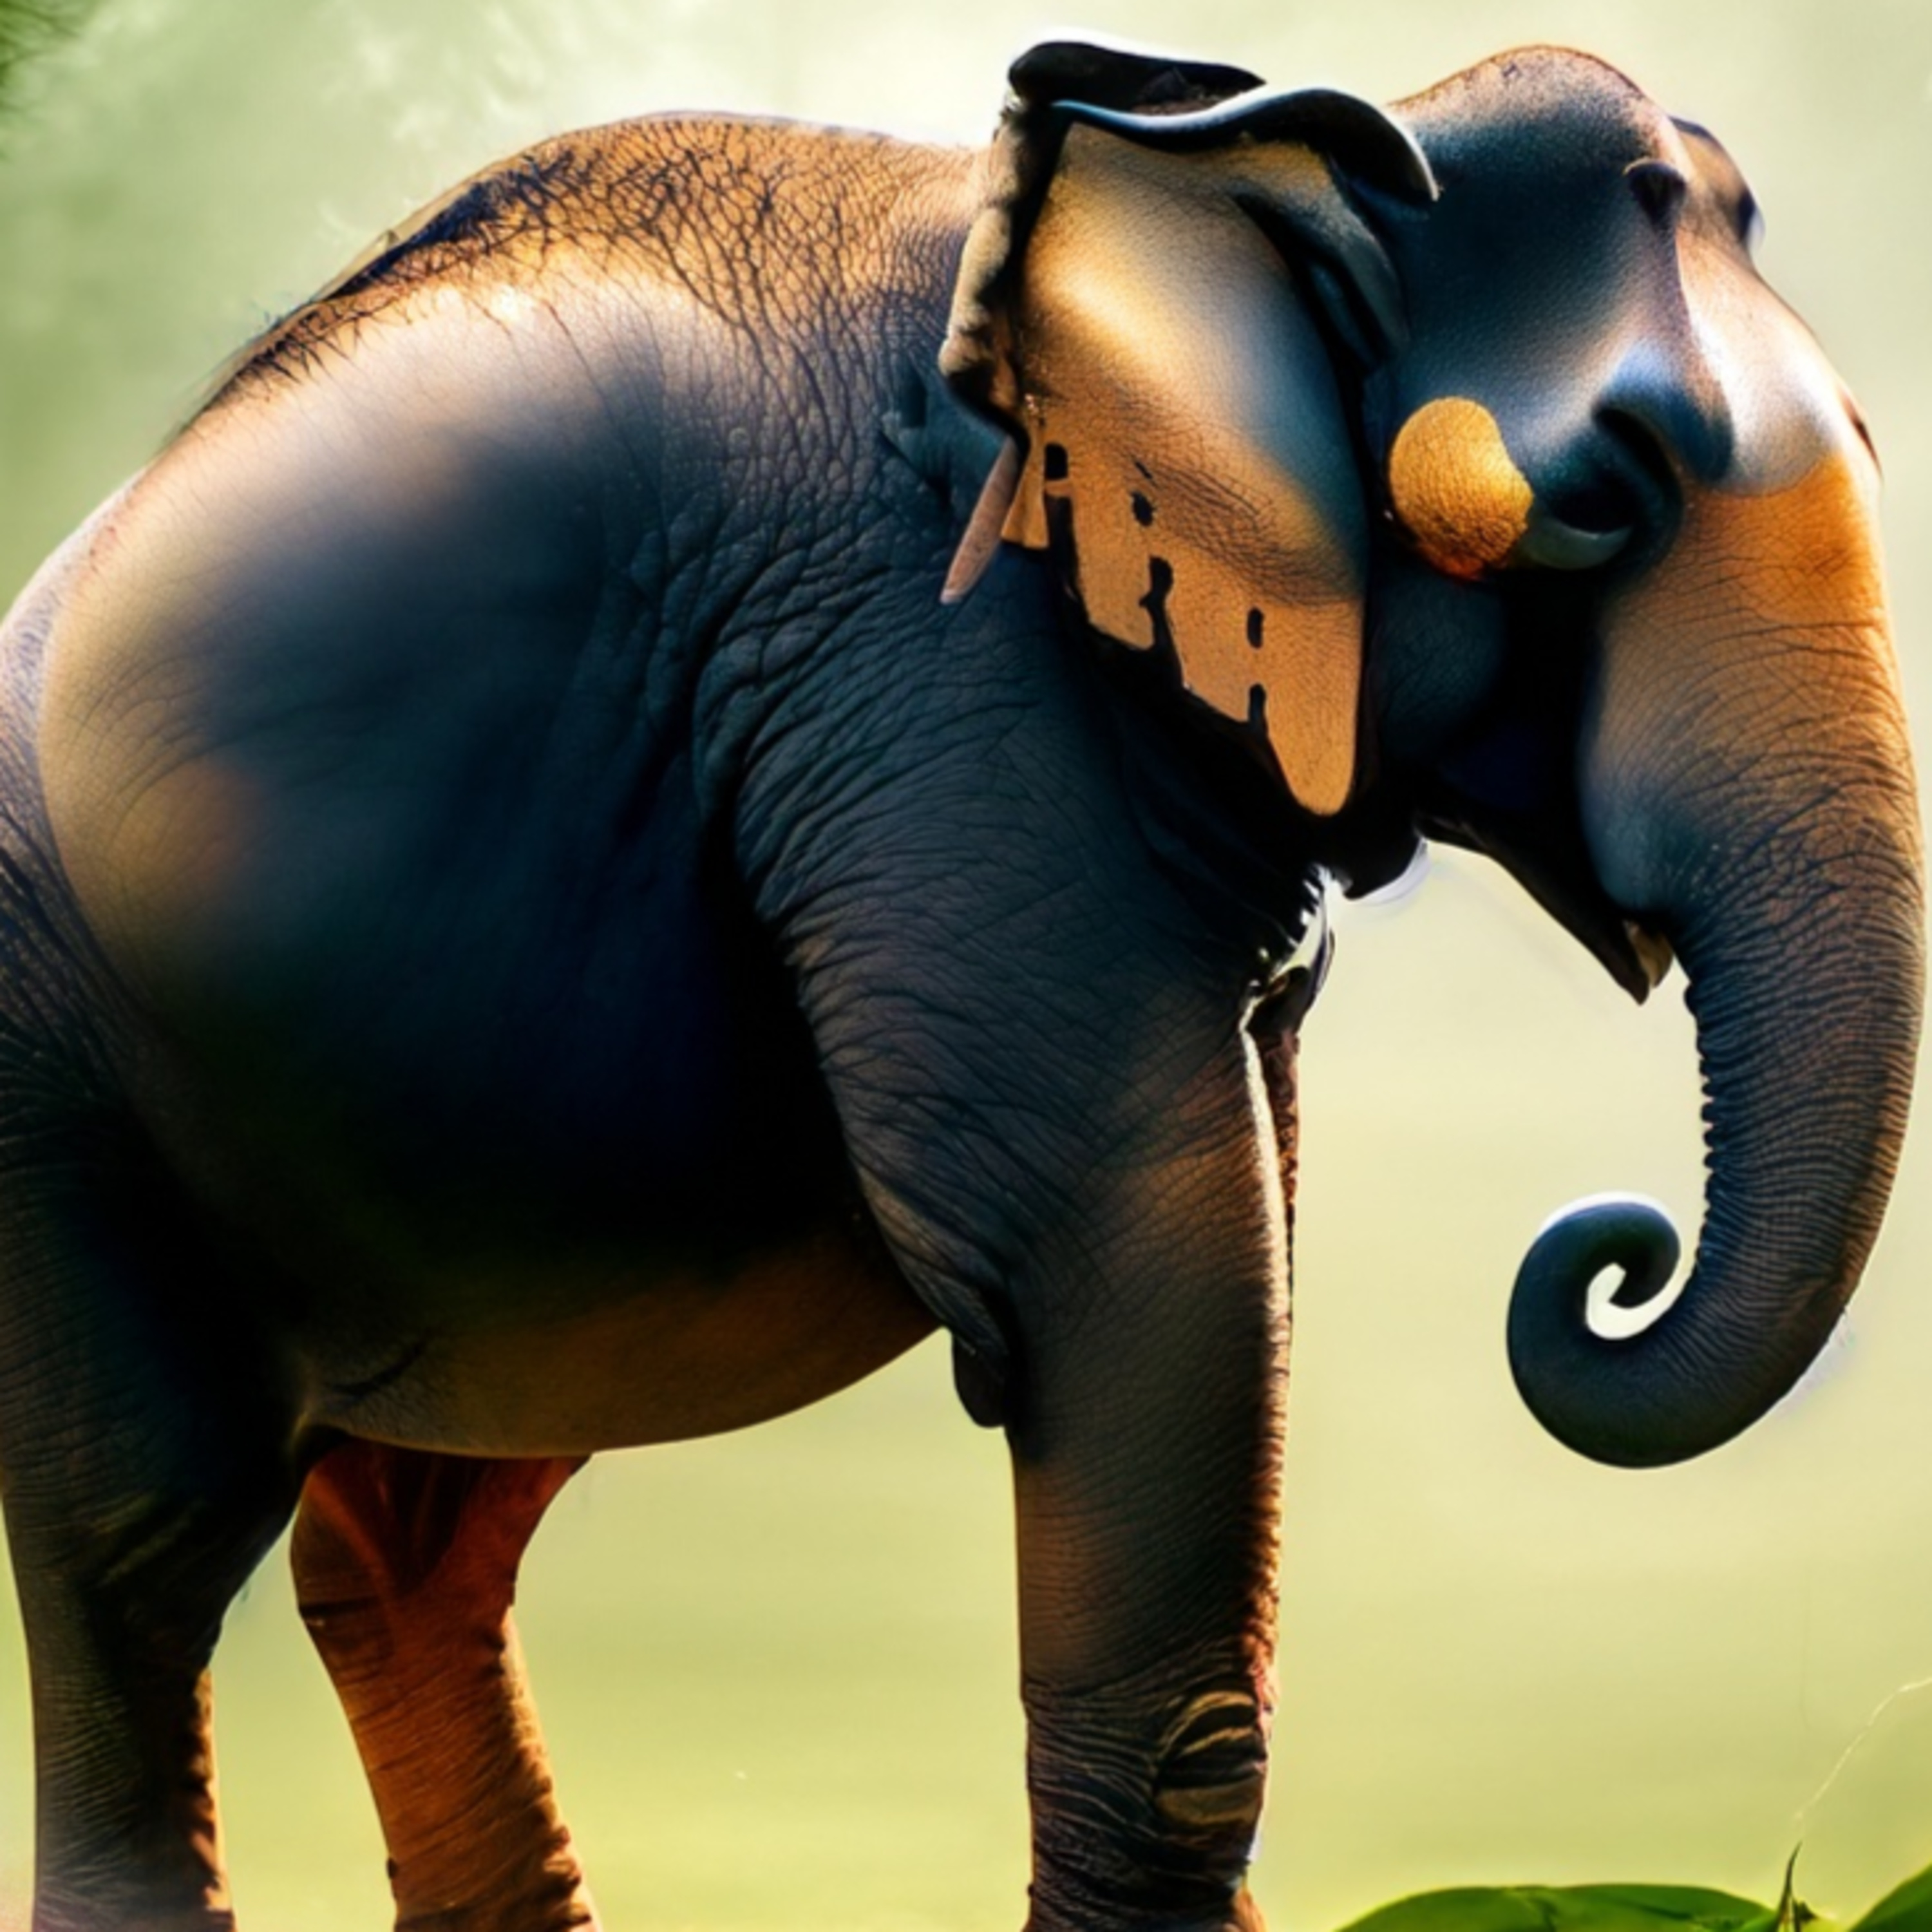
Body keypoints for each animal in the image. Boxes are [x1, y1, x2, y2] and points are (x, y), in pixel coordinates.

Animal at [0, 32, 1917, 1932]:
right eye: (1597, 498)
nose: (1611, 1252)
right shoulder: (926, 666)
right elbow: (1104, 1251)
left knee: (411, 1544)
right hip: (57, 1076)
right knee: (142, 1543)